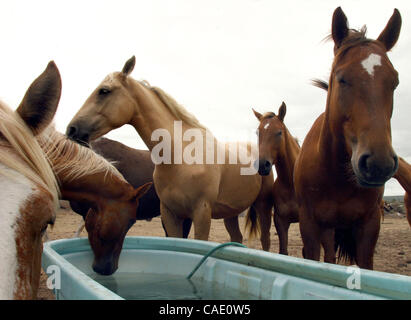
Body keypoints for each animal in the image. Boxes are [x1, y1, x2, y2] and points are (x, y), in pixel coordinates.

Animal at [66, 57, 276, 249]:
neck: (180, 157)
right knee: (236, 238)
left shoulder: (201, 214)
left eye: (104, 91)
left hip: (264, 207)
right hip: (231, 213)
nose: (71, 129)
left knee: (265, 239)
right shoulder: (170, 214)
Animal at [254, 102, 300, 255]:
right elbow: (283, 251)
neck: (290, 183)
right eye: (258, 133)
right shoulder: (281, 221)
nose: (262, 165)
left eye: (279, 132)